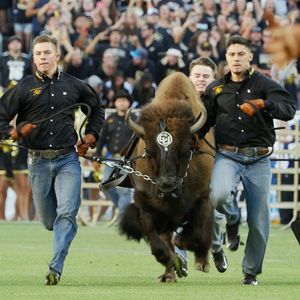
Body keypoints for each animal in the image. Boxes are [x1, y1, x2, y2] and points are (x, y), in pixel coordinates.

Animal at [119, 71, 216, 282]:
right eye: (148, 150)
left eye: (186, 149)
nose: (167, 187)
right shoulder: (145, 201)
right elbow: (154, 235)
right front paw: (169, 261)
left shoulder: (203, 196)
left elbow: (199, 232)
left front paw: (198, 260)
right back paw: (170, 273)